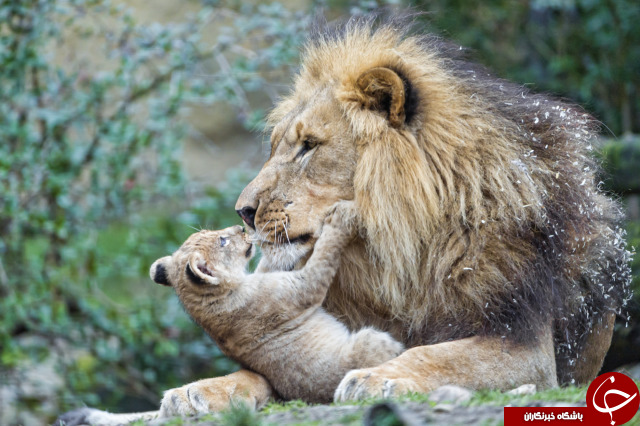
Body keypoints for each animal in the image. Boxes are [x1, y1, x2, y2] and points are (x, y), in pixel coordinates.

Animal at [58, 12, 632, 422]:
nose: (242, 211)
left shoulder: (524, 343)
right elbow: (258, 372)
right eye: (275, 147)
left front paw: (377, 377)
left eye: (309, 146)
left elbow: (443, 355)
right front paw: (197, 392)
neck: (396, 252)